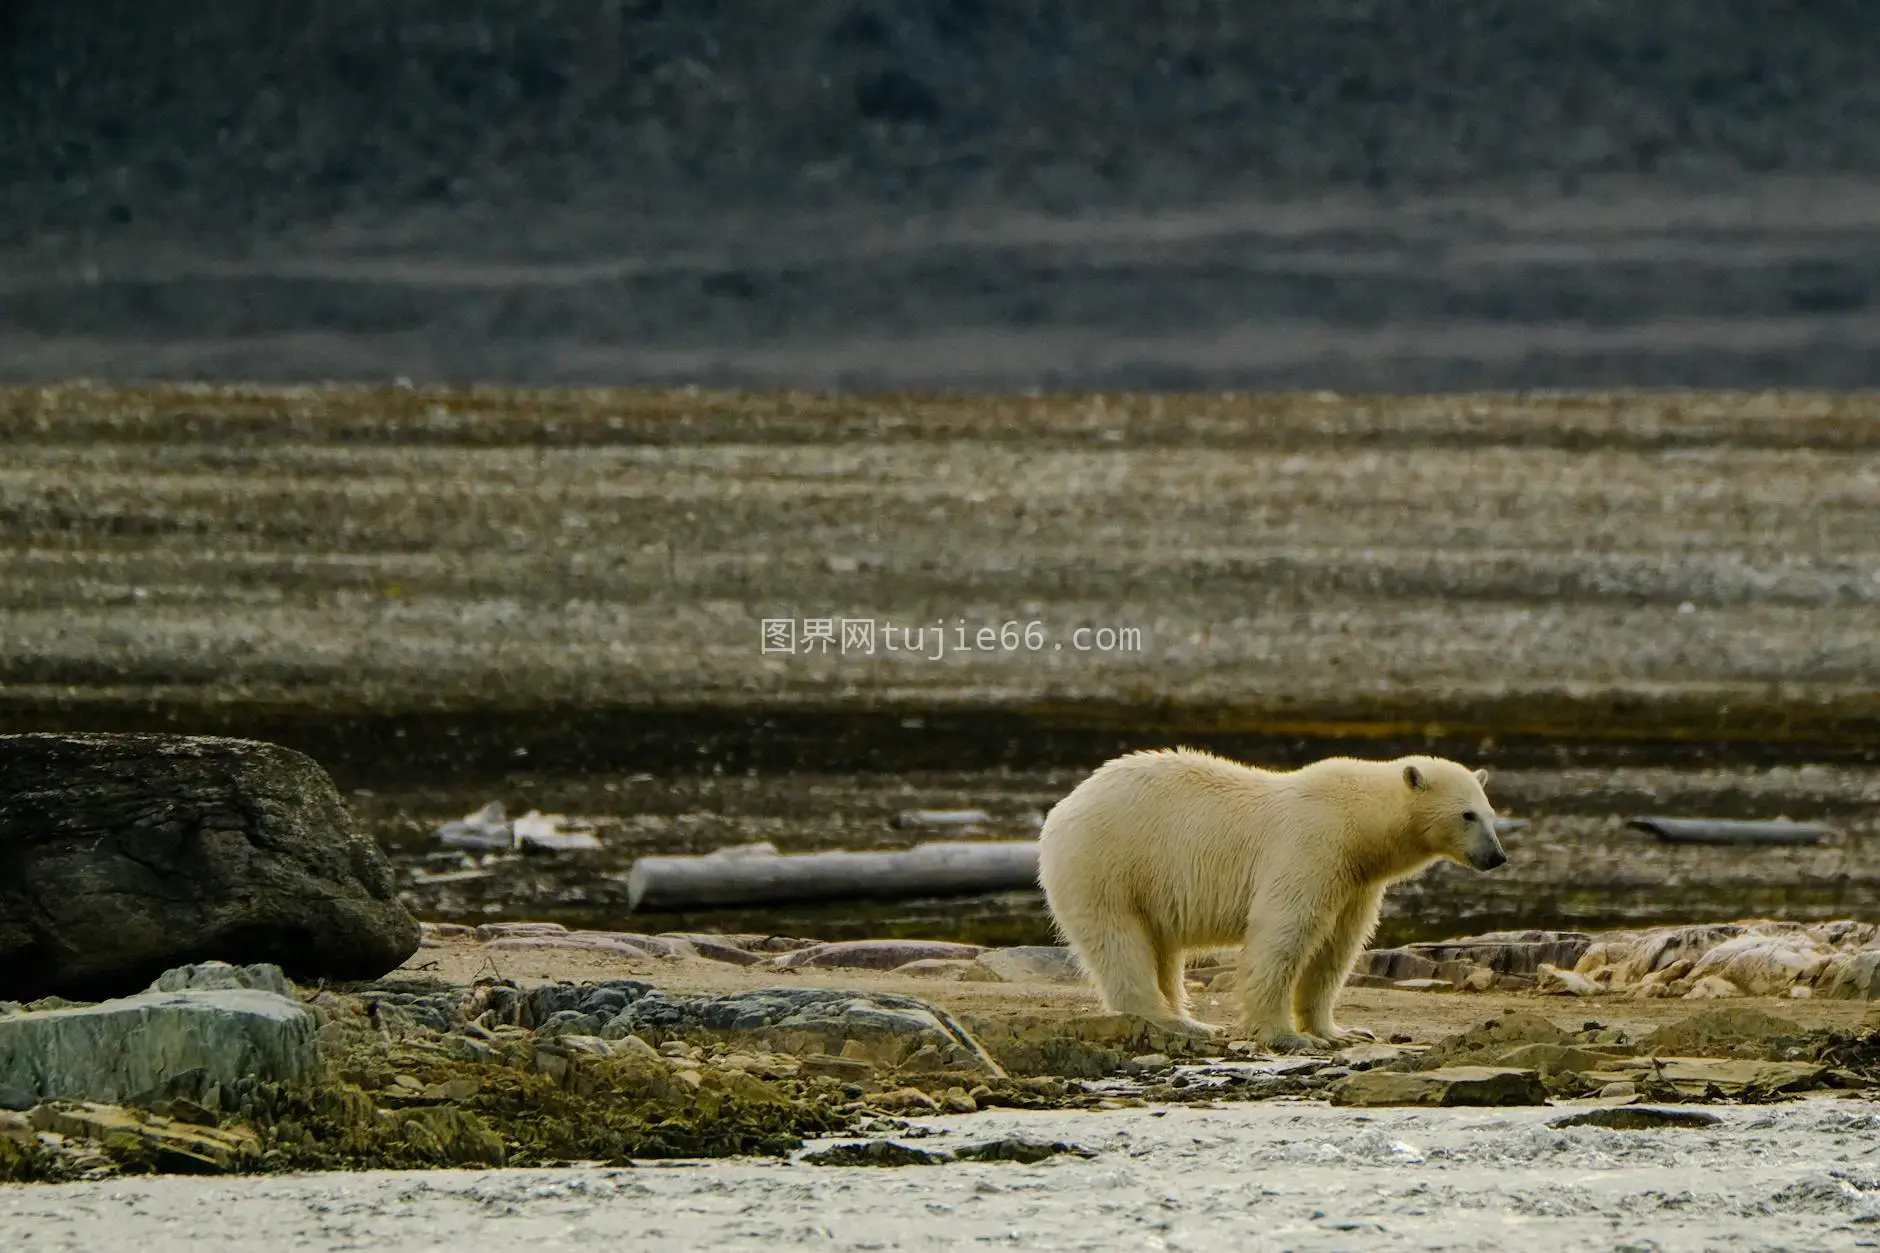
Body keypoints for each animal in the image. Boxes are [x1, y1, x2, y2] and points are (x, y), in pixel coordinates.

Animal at [1037, 745, 1504, 1046]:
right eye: (1467, 815)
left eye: (1491, 814)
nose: (1496, 856)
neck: (1358, 822)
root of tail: (1061, 809)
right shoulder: (1312, 845)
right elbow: (1285, 931)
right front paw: (1287, 1036)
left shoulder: (1355, 881)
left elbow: (1337, 948)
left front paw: (1341, 1032)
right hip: (1108, 862)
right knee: (1120, 941)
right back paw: (1179, 1023)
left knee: (1160, 950)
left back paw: (1186, 1017)